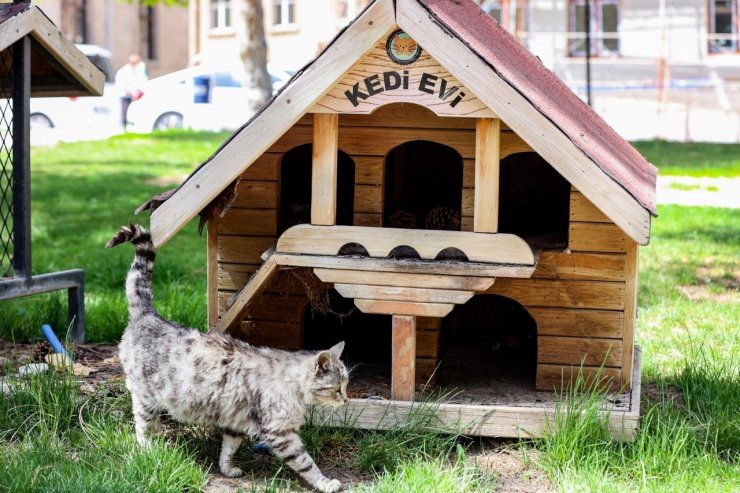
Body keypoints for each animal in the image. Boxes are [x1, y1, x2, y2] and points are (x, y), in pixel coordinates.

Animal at [107, 225, 350, 490]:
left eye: (346, 385)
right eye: (337, 388)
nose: (347, 400)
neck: (294, 387)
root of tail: (148, 315)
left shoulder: (236, 423)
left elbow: (229, 448)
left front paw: (227, 469)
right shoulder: (282, 433)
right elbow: (306, 463)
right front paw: (326, 483)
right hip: (145, 396)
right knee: (141, 424)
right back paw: (147, 448)